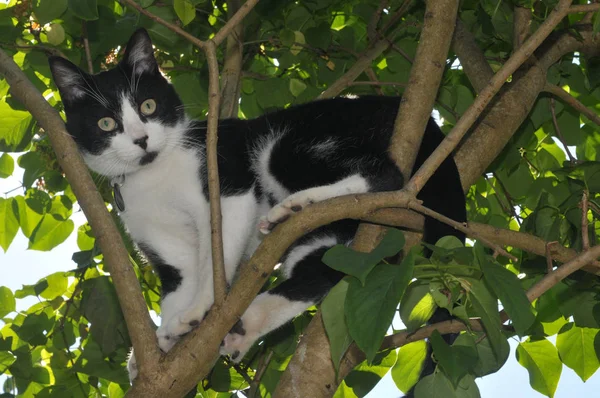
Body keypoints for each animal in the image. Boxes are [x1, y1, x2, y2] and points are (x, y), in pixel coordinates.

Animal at [49, 28, 466, 382]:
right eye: (106, 124)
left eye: (148, 105)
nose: (141, 139)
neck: (151, 176)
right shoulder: (162, 242)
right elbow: (179, 281)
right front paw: (164, 340)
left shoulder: (229, 180)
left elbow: (213, 260)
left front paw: (198, 311)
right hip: (334, 236)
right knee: (323, 267)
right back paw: (247, 323)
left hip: (288, 143)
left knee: (384, 175)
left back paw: (296, 205)